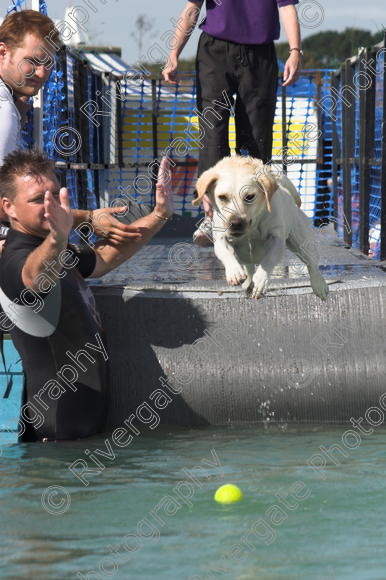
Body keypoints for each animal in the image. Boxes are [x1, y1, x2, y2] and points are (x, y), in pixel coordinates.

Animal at [193, 156, 328, 302]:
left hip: (300, 240)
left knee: (311, 263)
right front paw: (235, 273)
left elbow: (269, 260)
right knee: (249, 268)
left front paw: (260, 282)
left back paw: (319, 285)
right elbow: (225, 252)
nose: (235, 223)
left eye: (249, 196)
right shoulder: (220, 237)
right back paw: (248, 284)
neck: (251, 230)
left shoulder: (277, 239)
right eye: (222, 197)